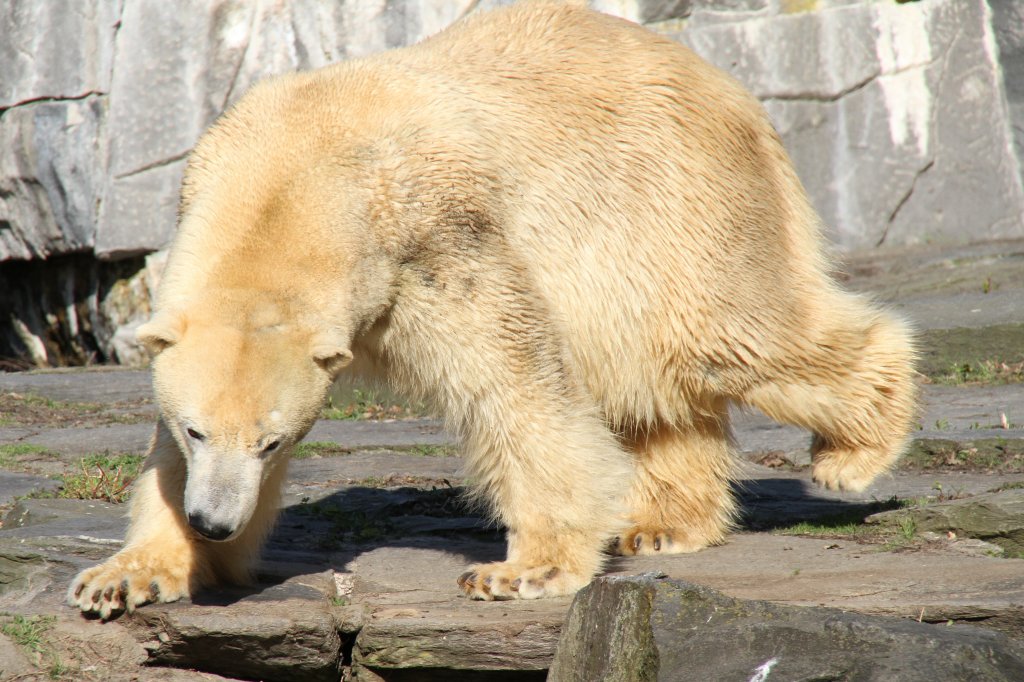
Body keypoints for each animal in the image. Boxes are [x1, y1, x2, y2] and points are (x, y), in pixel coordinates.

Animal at [66, 1, 913, 610]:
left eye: (273, 442)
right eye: (196, 429)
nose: (214, 520)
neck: (298, 163)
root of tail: (728, 86)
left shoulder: (433, 236)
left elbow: (510, 378)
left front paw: (521, 570)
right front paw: (126, 575)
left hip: (669, 200)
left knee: (722, 333)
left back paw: (854, 453)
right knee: (648, 378)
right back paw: (665, 523)